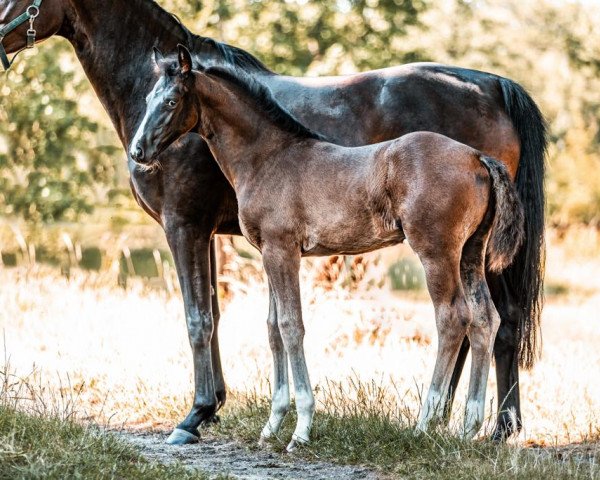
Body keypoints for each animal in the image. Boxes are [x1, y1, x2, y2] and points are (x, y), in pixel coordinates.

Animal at [129, 47, 524, 450]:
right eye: (147, 99)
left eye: (172, 100)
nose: (138, 151)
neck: (268, 158)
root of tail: (478, 158)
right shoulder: (270, 253)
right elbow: (273, 329)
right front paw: (272, 425)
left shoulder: (282, 250)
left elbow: (291, 327)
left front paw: (301, 429)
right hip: (471, 254)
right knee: (485, 319)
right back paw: (469, 426)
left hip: (437, 253)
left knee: (452, 317)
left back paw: (425, 423)